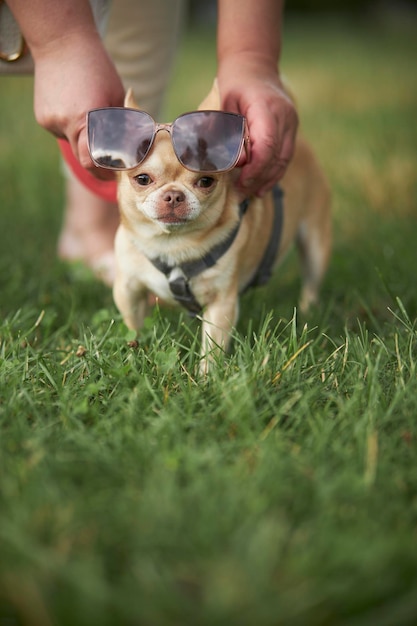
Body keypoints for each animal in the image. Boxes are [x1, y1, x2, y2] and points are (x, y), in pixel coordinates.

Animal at [111, 80, 332, 368]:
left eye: (206, 181)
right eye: (143, 179)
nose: (174, 195)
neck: (172, 244)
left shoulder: (221, 304)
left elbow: (212, 346)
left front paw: (207, 375)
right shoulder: (128, 291)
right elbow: (134, 326)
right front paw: (134, 351)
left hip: (315, 246)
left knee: (311, 282)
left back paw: (308, 312)